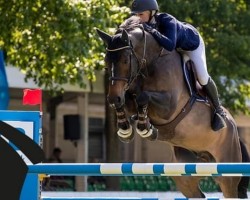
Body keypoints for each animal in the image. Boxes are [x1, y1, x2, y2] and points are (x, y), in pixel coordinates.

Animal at [96, 16, 250, 198]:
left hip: (227, 174)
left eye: (125, 60)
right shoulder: (128, 94)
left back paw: (219, 116)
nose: (113, 97)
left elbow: (143, 97)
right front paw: (126, 129)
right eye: (106, 61)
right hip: (185, 174)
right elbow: (127, 101)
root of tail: (234, 128)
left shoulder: (169, 106)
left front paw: (145, 129)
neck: (150, 63)